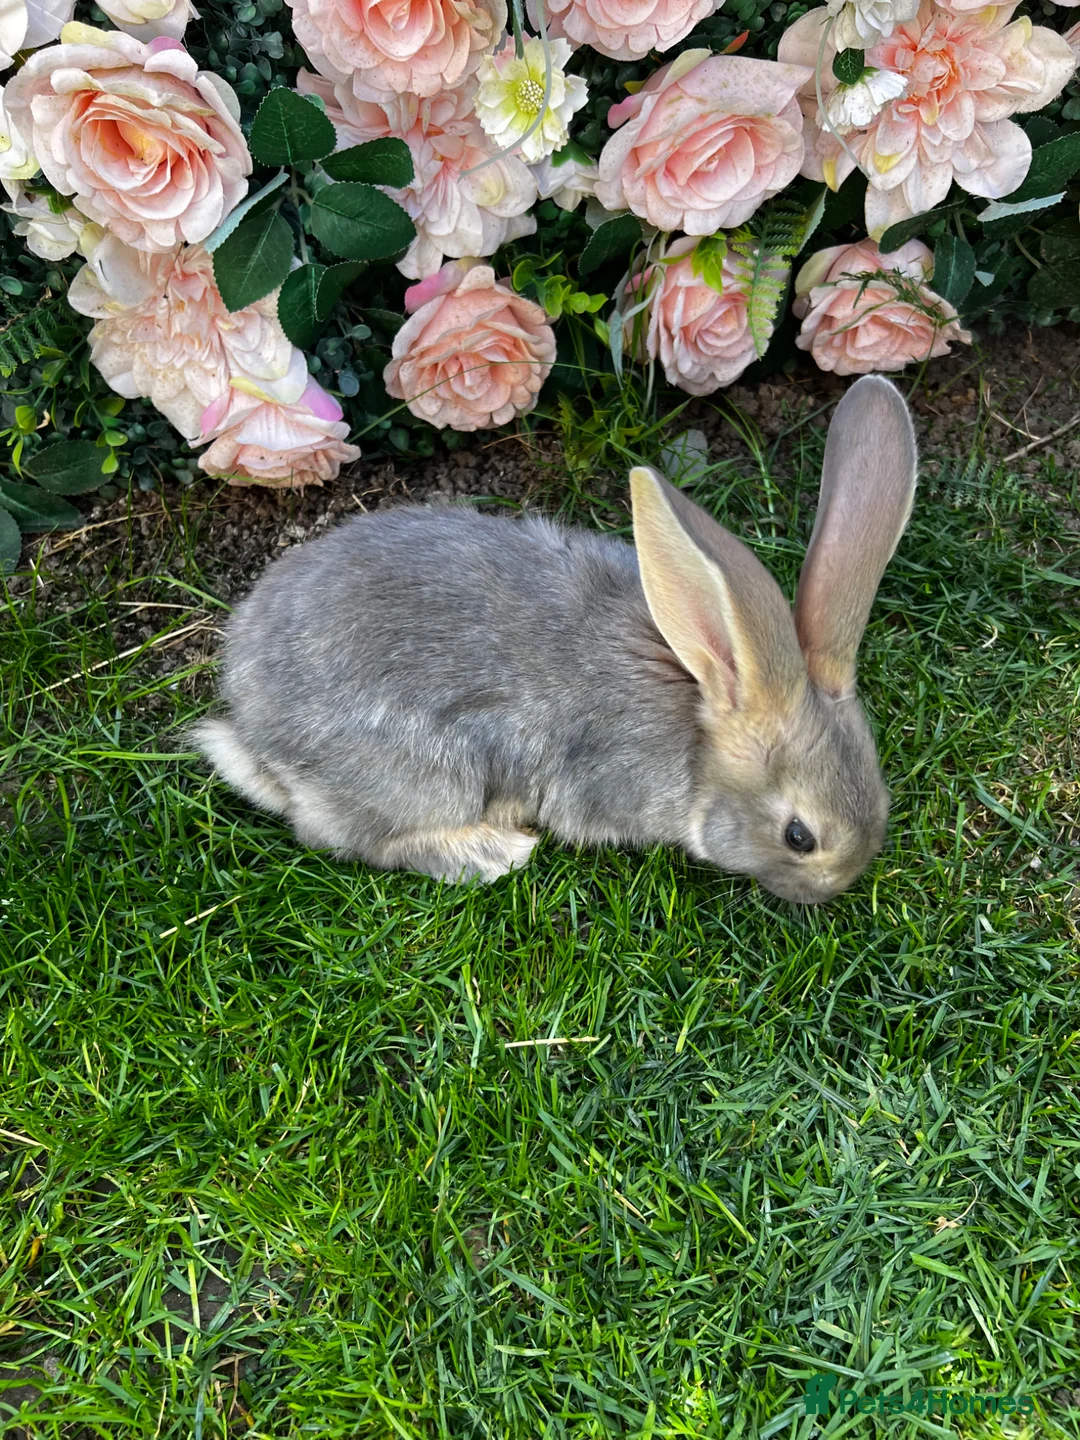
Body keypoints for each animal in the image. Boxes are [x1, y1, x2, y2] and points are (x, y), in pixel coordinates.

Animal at [194, 373, 917, 903]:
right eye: (800, 836)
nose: (833, 888)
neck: (700, 706)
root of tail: (254, 731)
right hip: (433, 774)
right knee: (359, 839)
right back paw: (493, 850)